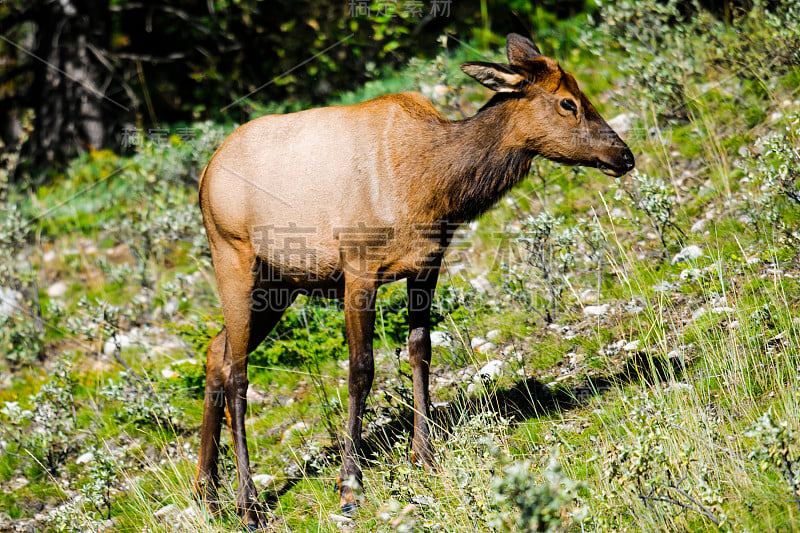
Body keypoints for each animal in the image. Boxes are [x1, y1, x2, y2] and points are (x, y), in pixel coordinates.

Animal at [192, 33, 632, 528]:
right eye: (567, 102)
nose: (624, 155)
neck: (433, 188)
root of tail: (204, 176)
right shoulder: (358, 270)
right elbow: (361, 370)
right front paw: (350, 486)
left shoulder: (427, 264)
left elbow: (420, 351)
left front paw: (424, 453)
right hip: (234, 260)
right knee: (238, 375)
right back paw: (247, 503)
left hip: (279, 284)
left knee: (215, 352)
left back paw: (207, 492)